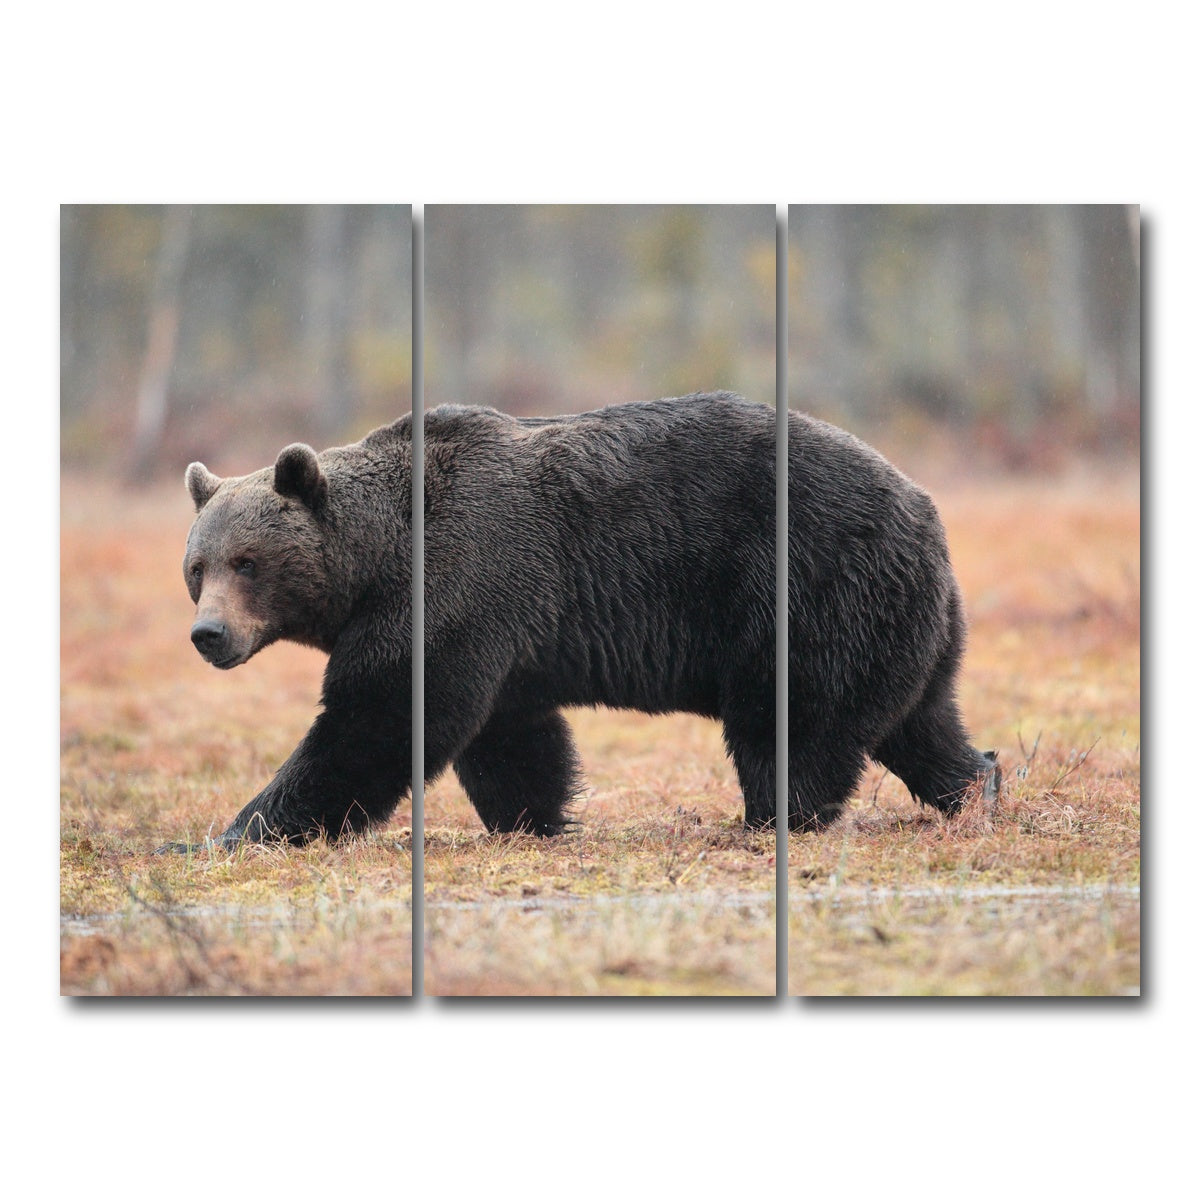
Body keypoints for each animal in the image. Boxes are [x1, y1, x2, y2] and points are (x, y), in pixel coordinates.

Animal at [167, 391, 996, 850]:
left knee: (791, 723)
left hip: (804, 587)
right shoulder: (500, 626)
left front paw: (238, 831)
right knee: (919, 722)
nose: (209, 636)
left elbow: (376, 719)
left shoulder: (459, 579)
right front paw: (535, 816)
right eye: (196, 568)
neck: (376, 559)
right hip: (902, 619)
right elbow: (510, 736)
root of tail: (925, 507)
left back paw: (774, 817)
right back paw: (978, 783)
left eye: (248, 562)